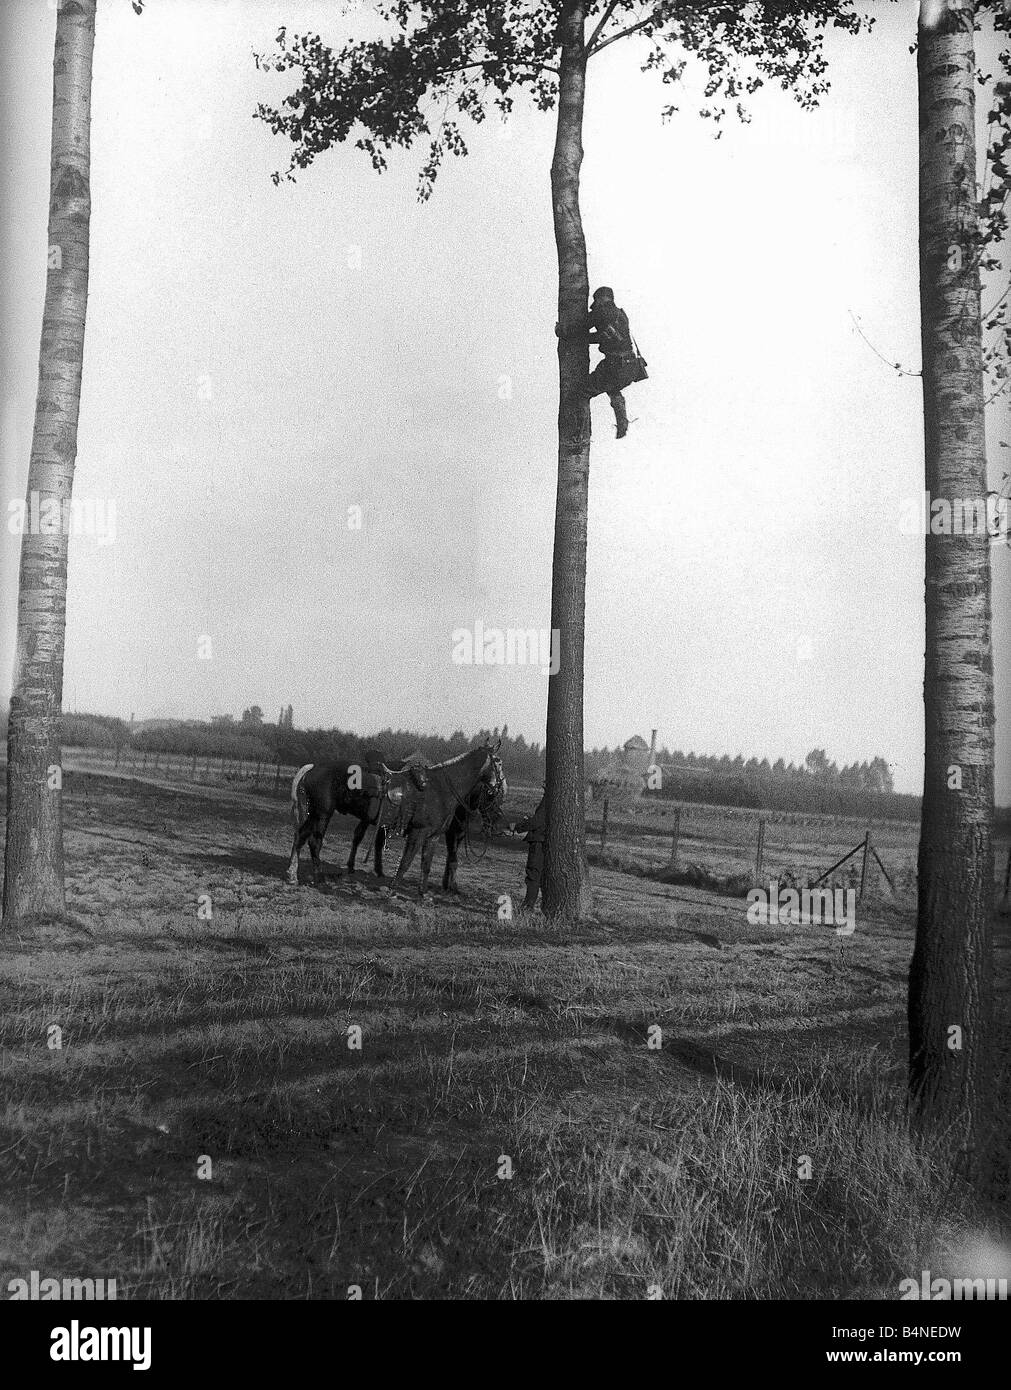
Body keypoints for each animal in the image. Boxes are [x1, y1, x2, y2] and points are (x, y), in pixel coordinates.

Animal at [285, 750, 428, 889]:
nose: (424, 783)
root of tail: (312, 769)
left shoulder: (376, 822)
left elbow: (366, 838)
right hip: (322, 814)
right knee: (314, 842)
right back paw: (319, 879)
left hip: (313, 814)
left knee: (300, 837)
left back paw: (292, 876)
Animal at [392, 739, 508, 900]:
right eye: (499, 762)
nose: (502, 788)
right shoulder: (431, 833)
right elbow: (409, 860)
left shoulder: (448, 835)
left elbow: (442, 861)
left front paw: (445, 886)